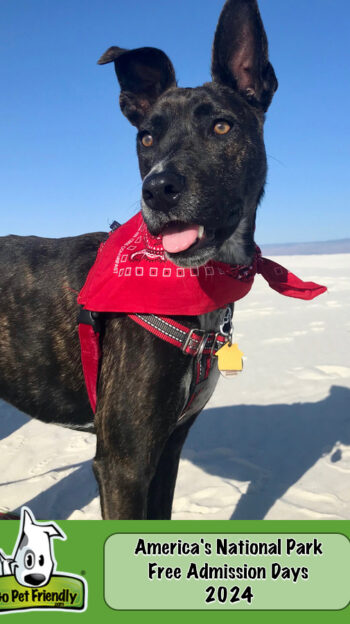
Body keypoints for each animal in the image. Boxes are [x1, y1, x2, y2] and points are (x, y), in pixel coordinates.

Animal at [1, 0, 278, 516]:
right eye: (146, 139)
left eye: (222, 126)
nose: (159, 189)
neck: (192, 284)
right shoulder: (122, 466)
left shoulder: (168, 447)